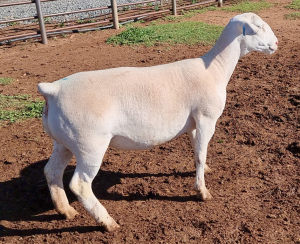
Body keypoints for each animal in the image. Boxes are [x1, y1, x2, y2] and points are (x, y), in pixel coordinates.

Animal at [37, 12, 278, 232]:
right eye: (258, 26)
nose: (276, 43)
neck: (215, 69)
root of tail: (53, 91)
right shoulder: (206, 117)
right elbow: (201, 154)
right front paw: (202, 191)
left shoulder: (194, 123)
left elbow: (197, 151)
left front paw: (205, 171)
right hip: (89, 144)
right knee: (80, 185)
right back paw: (107, 222)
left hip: (64, 141)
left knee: (52, 171)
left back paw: (66, 211)